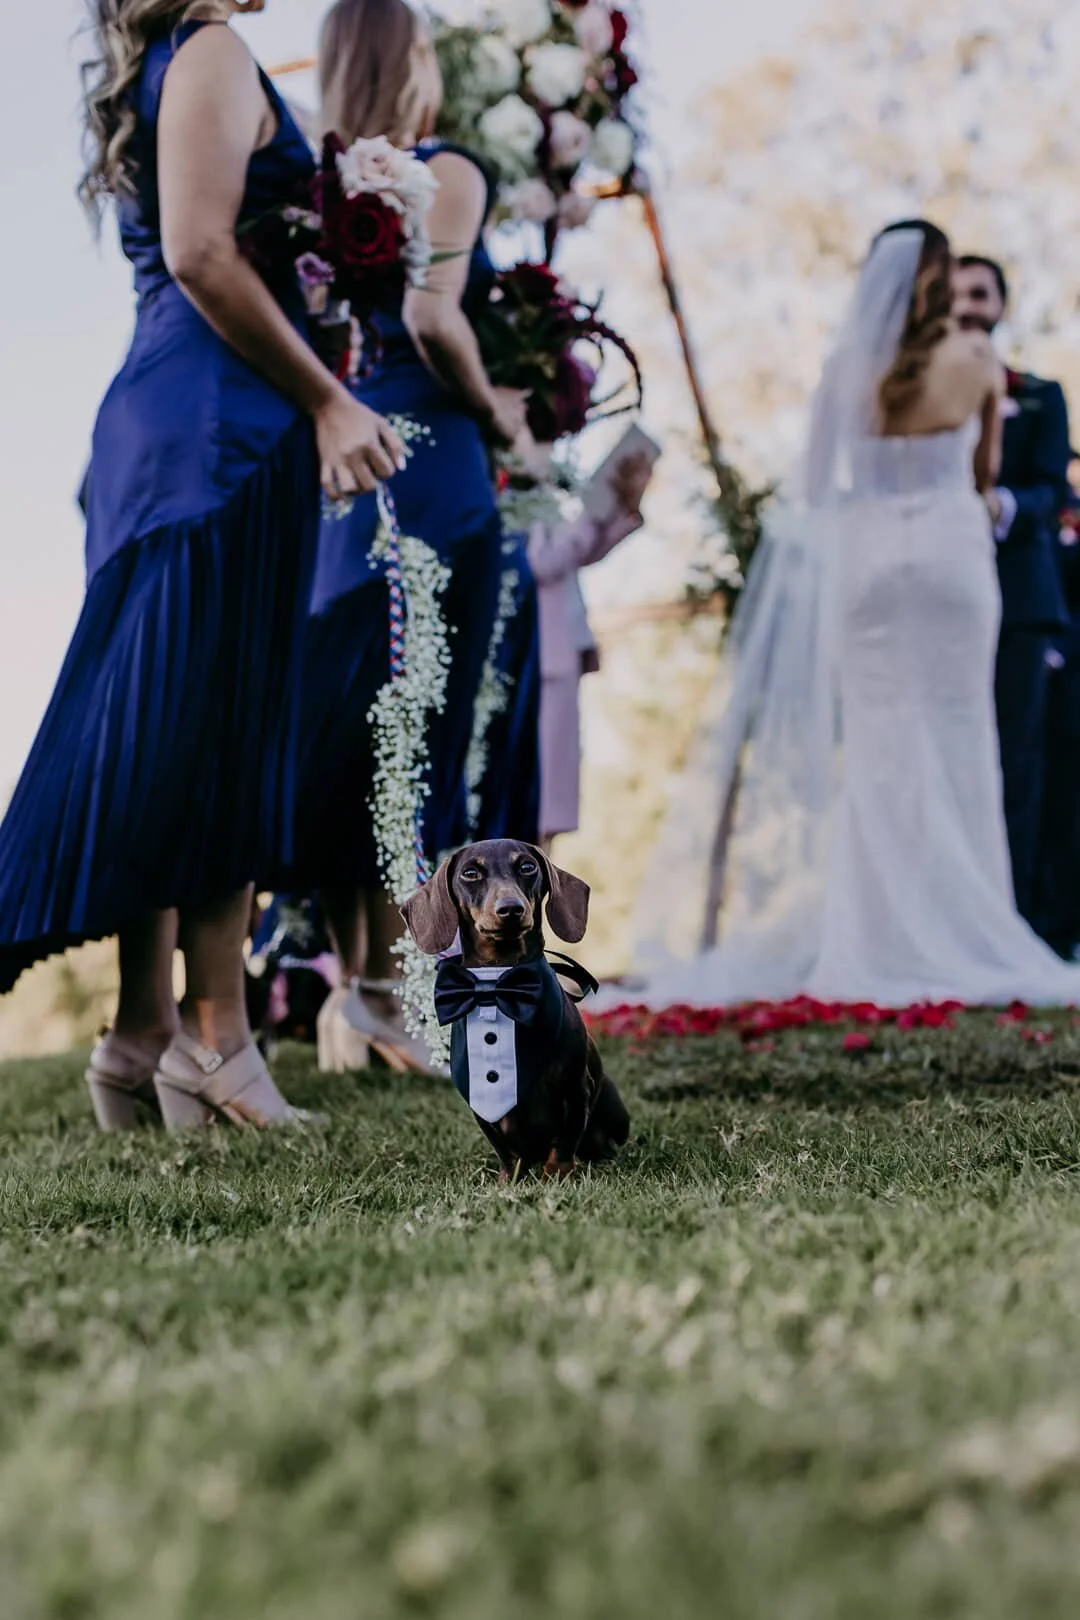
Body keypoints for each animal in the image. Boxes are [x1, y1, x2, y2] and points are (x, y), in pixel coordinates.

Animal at [400, 840, 630, 1180]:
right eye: (470, 873)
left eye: (527, 867)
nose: (510, 909)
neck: (498, 984)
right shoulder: (480, 1103)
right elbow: (506, 1150)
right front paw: (509, 1180)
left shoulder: (576, 1088)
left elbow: (565, 1142)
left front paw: (556, 1176)